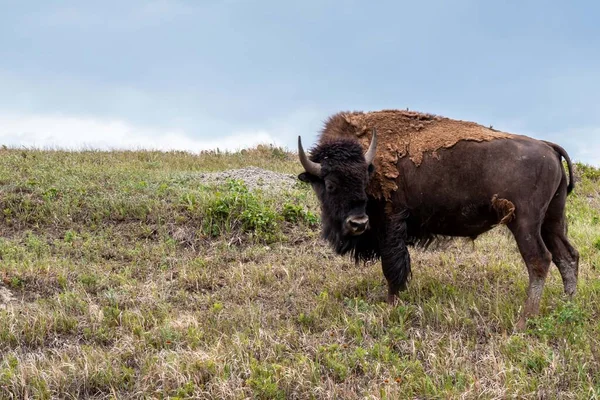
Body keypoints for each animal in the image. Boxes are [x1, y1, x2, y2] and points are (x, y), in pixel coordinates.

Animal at [298, 108, 580, 328]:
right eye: (330, 185)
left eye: (364, 180)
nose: (358, 223)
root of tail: (548, 146)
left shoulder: (391, 224)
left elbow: (393, 267)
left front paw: (391, 306)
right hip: (552, 219)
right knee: (567, 256)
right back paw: (566, 306)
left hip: (524, 222)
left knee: (539, 260)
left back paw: (523, 322)